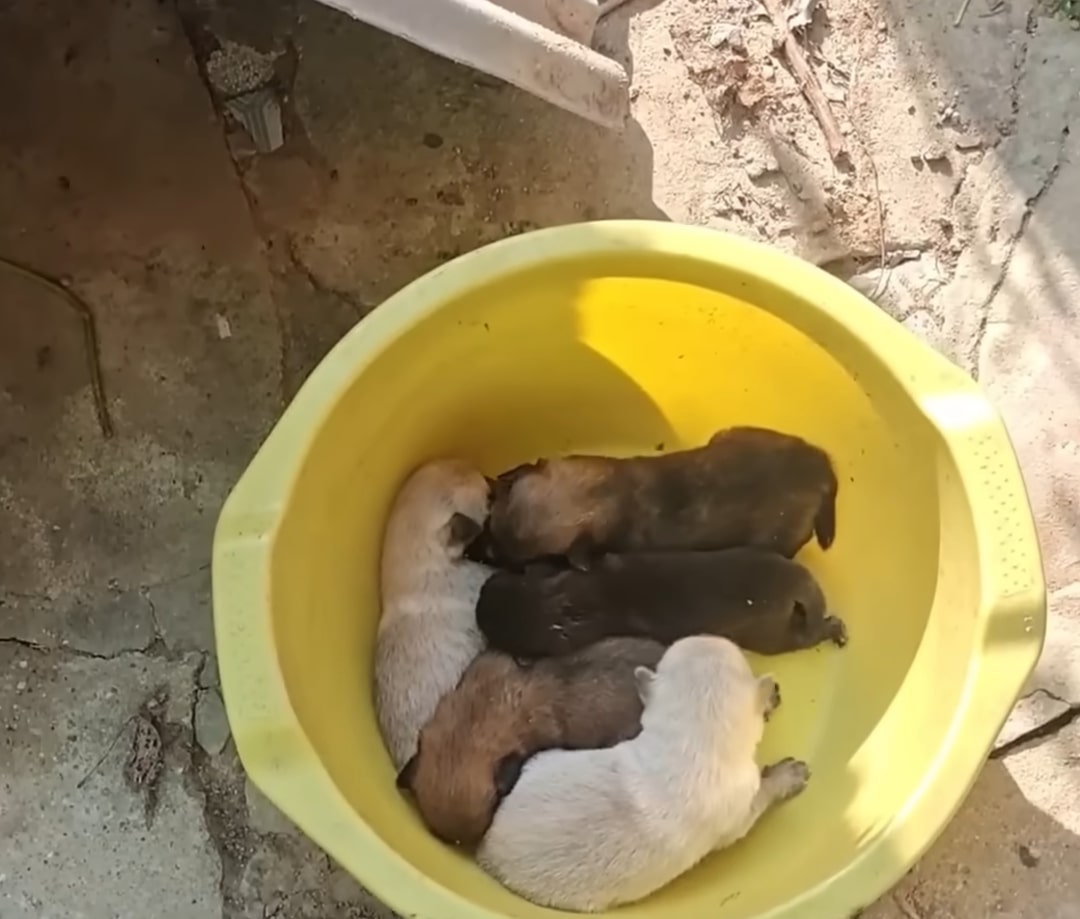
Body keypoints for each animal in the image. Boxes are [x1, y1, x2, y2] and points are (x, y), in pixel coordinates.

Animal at [477, 546, 846, 660]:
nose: (479, 600)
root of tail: (793, 582)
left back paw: (836, 629)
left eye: (490, 625)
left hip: (773, 637)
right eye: (502, 583)